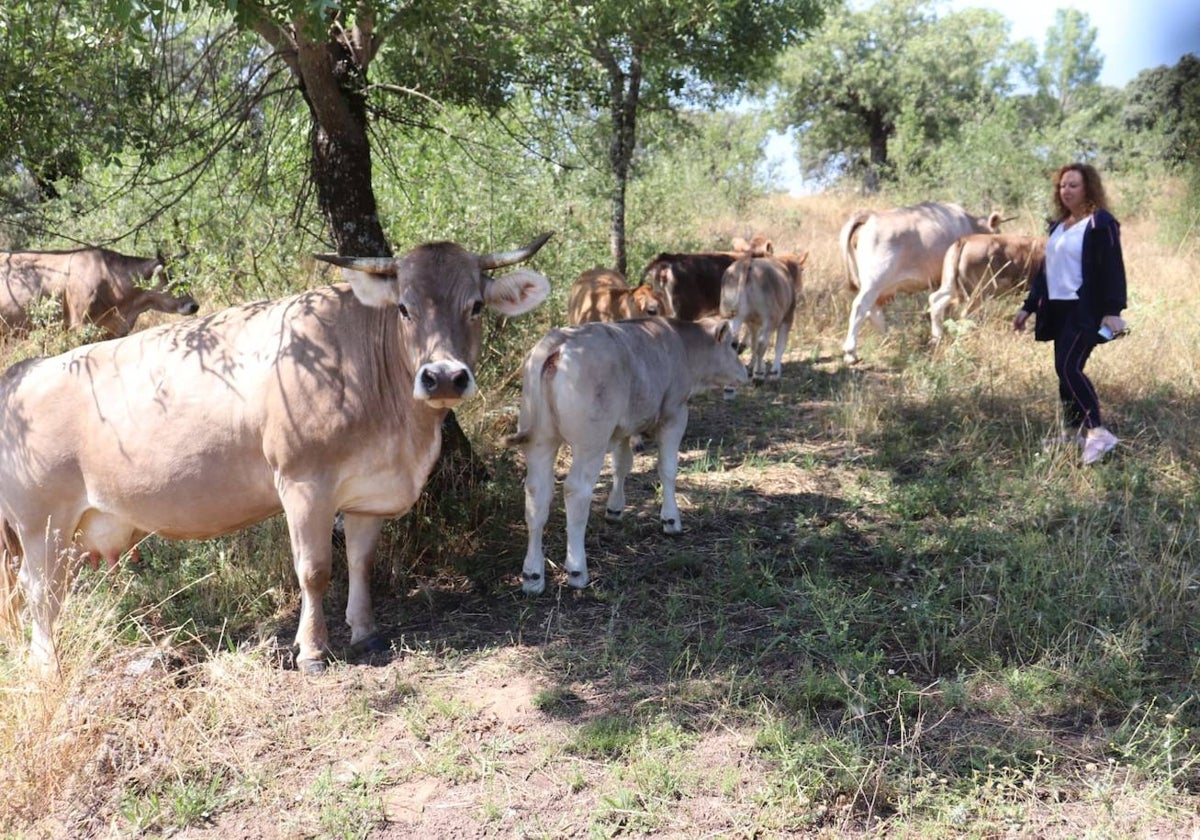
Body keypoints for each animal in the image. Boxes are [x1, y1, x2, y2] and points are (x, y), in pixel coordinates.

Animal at [720, 255, 796, 386]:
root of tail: (748, 263)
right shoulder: (787, 317)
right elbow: (780, 346)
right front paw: (775, 373)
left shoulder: (753, 322)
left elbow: (753, 344)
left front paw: (752, 367)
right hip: (770, 317)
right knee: (762, 343)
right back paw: (759, 376)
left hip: (734, 315)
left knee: (733, 341)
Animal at [840, 205, 1008, 362]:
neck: (970, 223)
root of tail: (871, 216)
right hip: (874, 282)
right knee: (860, 307)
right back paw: (851, 352)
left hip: (882, 288)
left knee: (874, 311)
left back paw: (888, 338)